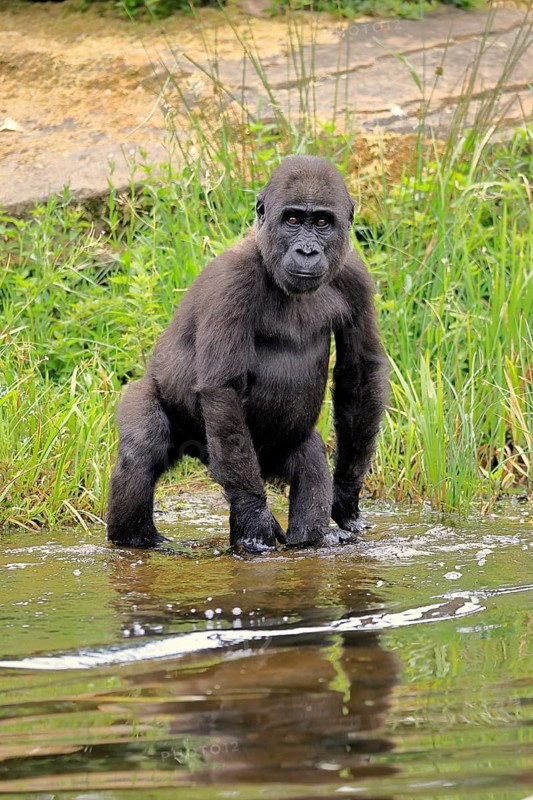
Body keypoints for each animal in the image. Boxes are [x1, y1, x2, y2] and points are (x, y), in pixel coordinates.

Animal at [106, 155, 388, 553]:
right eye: (292, 220)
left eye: (321, 222)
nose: (307, 251)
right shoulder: (232, 282)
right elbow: (222, 388)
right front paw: (254, 522)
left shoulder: (355, 277)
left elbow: (360, 373)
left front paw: (346, 498)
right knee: (142, 449)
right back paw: (135, 538)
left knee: (307, 458)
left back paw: (312, 536)